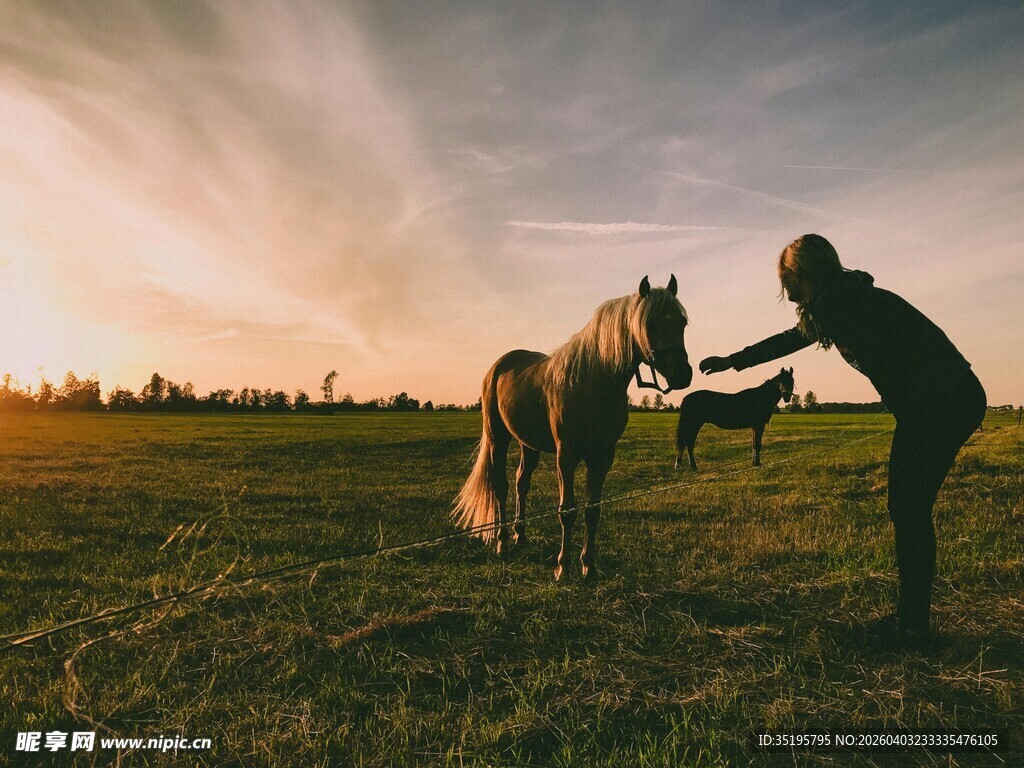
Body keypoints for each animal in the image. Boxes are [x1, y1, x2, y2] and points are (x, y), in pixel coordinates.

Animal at [453, 276, 692, 581]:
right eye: (650, 324)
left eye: (682, 322)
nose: (683, 374)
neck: (593, 382)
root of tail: (498, 366)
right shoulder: (565, 455)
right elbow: (567, 510)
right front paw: (562, 567)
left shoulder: (603, 456)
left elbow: (592, 510)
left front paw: (588, 566)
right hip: (498, 438)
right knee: (501, 485)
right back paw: (503, 543)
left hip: (528, 444)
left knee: (521, 483)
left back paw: (521, 536)